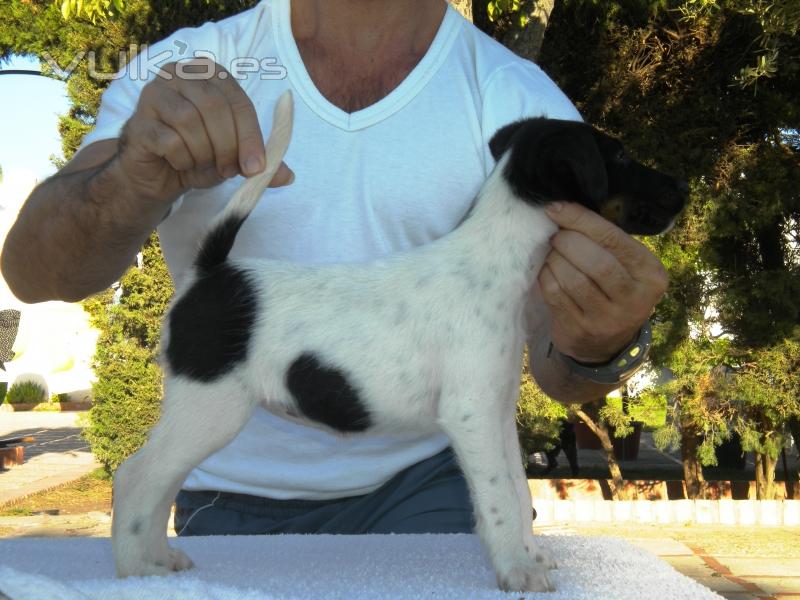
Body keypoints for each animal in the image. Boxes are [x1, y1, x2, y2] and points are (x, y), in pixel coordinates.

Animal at [112, 91, 684, 592]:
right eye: (620, 155)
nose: (681, 192)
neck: (495, 260)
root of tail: (210, 274)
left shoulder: (496, 414)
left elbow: (518, 491)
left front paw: (529, 556)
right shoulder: (472, 415)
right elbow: (500, 496)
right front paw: (518, 572)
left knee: (158, 485)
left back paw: (160, 559)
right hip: (209, 408)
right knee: (137, 478)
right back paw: (134, 569)